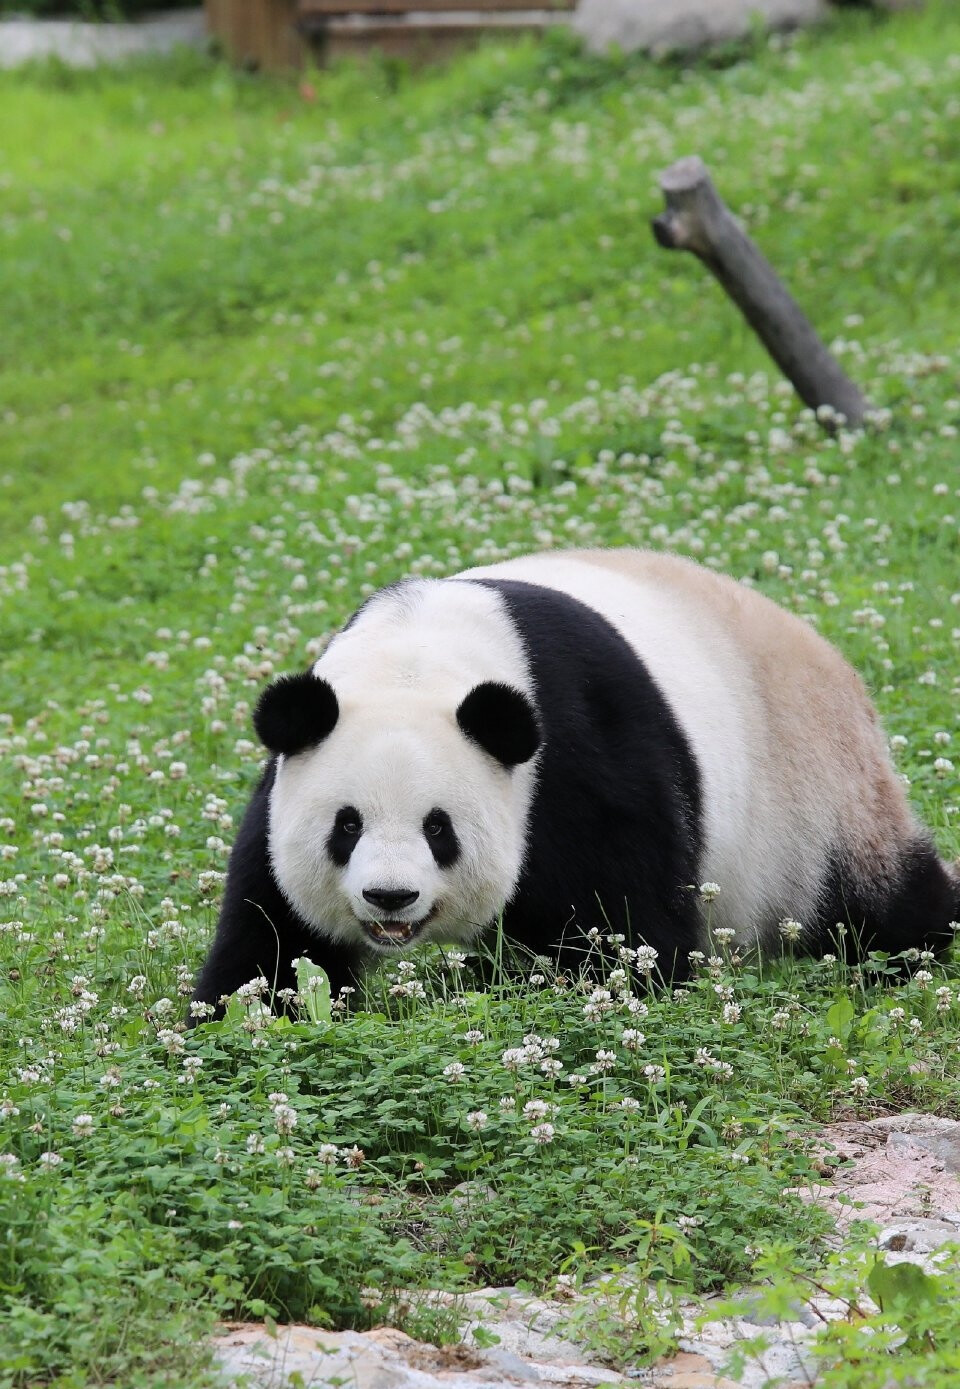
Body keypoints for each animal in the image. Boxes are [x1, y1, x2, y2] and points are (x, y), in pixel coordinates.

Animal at [191, 547, 955, 1016]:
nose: (390, 897)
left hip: (811, 802)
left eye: (439, 828)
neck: (417, 656)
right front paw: (246, 1012)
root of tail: (838, 666)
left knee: (877, 902)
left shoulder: (579, 753)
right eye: (345, 825)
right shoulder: (288, 775)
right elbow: (275, 930)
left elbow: (625, 917)